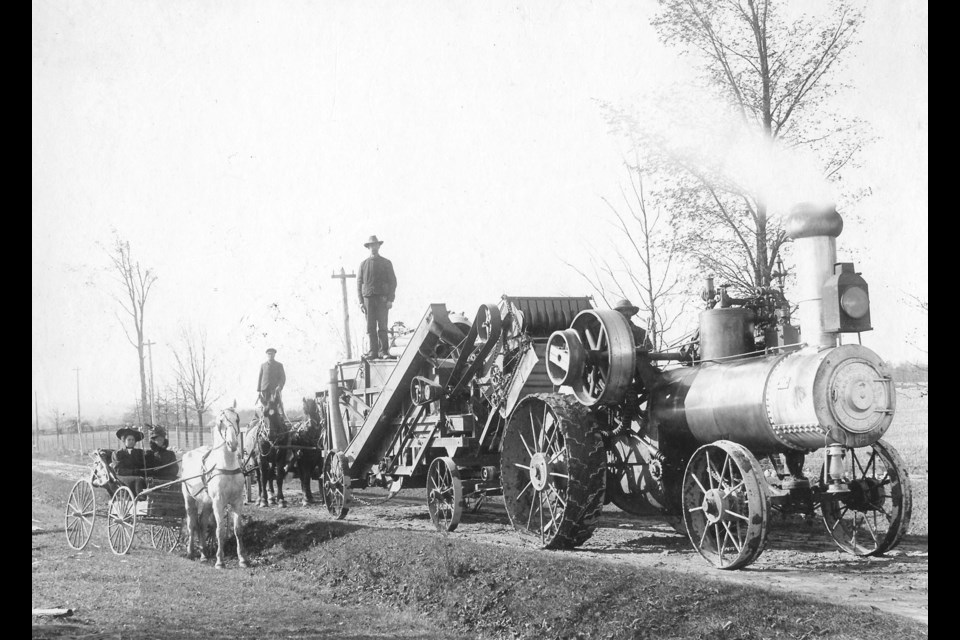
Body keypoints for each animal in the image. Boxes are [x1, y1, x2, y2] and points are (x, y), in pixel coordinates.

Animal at [180, 402, 248, 568]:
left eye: (237, 419)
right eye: (221, 421)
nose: (233, 443)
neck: (226, 466)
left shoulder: (237, 501)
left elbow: (238, 529)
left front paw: (242, 559)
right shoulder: (218, 502)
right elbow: (220, 531)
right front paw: (220, 561)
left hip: (206, 503)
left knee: (202, 523)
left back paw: (204, 554)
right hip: (189, 499)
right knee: (192, 524)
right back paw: (190, 552)